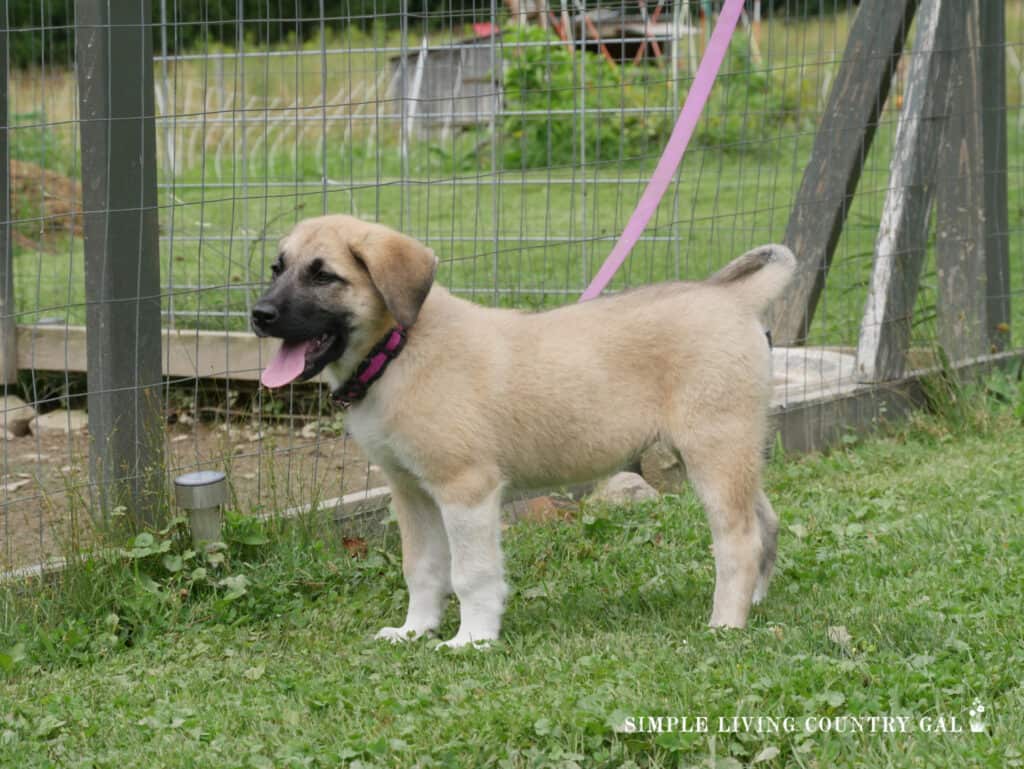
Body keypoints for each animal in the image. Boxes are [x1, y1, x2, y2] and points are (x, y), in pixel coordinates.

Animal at [251, 215, 794, 651]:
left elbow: (471, 573)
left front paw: (471, 639)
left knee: (738, 539)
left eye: (324, 275)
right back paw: (755, 601)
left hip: (714, 449)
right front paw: (414, 631)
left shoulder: (466, 489)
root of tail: (732, 297)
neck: (399, 350)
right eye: (278, 268)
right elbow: (421, 569)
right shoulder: (411, 492)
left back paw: (726, 623)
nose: (259, 315)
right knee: (765, 522)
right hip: (730, 451)